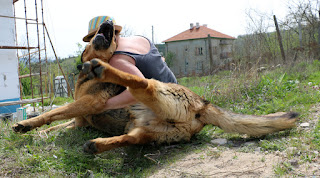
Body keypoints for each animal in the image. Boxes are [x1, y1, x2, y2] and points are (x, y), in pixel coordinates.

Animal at [11, 20, 298, 154]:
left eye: (112, 31)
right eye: (102, 30)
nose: (108, 23)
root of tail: (203, 105)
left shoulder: (89, 103)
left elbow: (53, 113)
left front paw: (27, 124)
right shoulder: (81, 119)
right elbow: (58, 122)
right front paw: (35, 131)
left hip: (153, 91)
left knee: (140, 82)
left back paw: (103, 70)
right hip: (148, 132)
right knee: (131, 138)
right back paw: (98, 145)